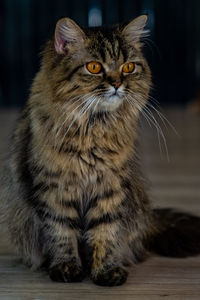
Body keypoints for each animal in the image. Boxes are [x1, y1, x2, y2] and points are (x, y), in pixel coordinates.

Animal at [0, 15, 200, 286]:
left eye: (128, 67)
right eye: (94, 67)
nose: (116, 83)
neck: (93, 131)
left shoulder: (110, 188)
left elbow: (105, 233)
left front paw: (105, 271)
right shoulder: (55, 190)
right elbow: (62, 233)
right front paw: (66, 268)